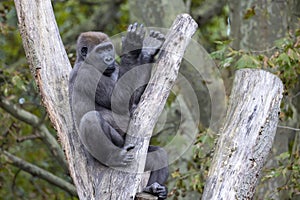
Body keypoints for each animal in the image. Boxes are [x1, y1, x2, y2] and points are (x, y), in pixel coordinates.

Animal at [69, 23, 170, 198]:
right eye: (100, 51)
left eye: (108, 49)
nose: (109, 58)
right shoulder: (87, 74)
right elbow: (119, 100)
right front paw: (131, 47)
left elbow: (135, 98)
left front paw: (147, 52)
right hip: (104, 155)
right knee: (91, 119)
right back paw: (114, 157)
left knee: (158, 154)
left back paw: (154, 188)